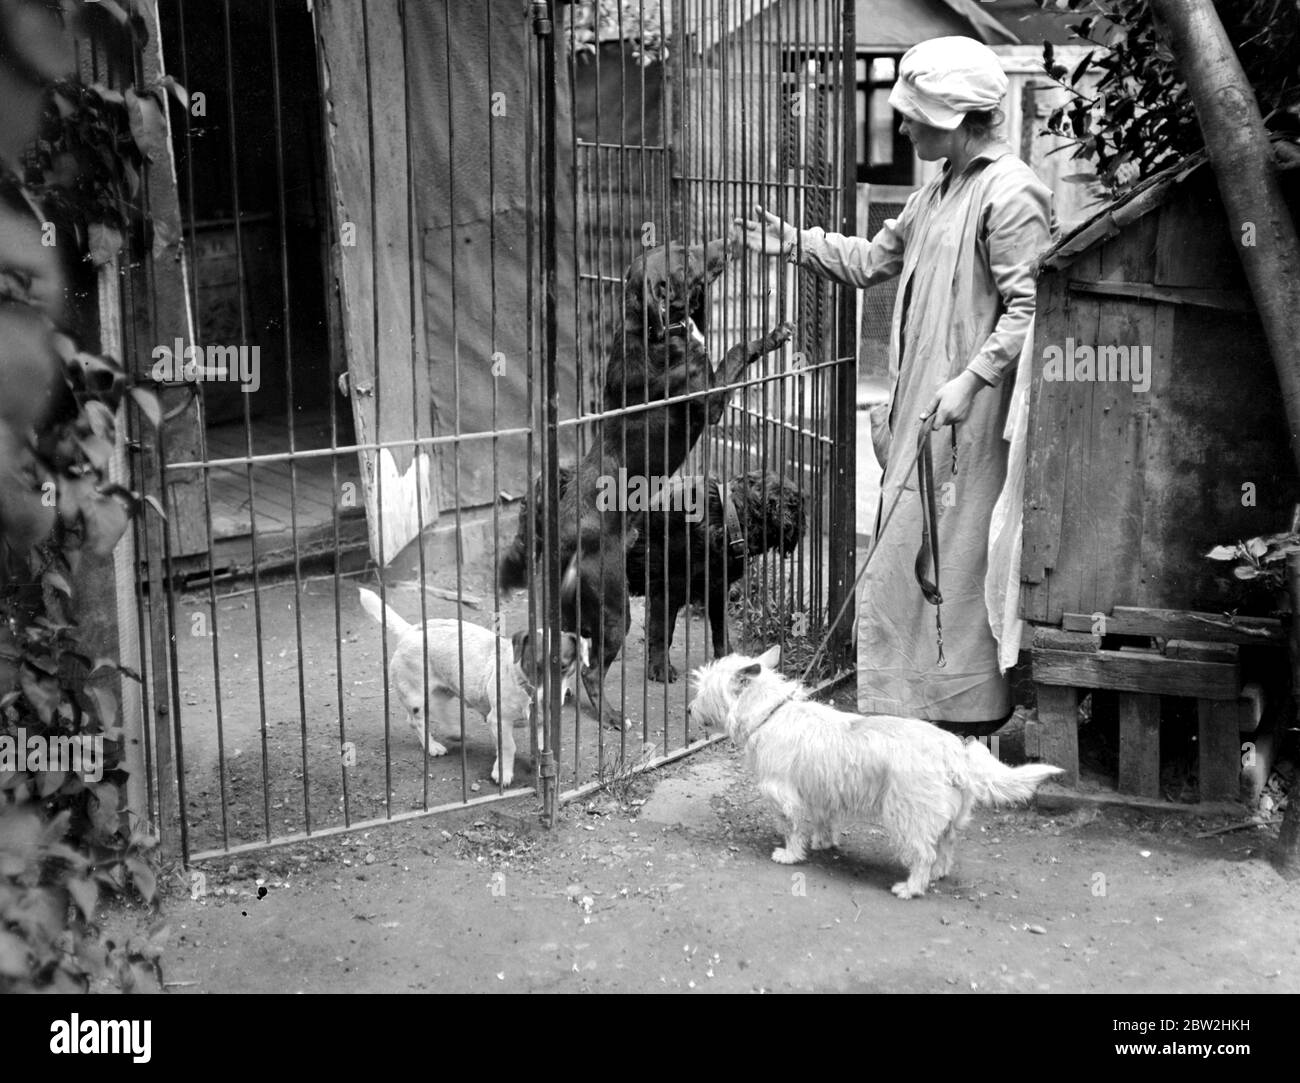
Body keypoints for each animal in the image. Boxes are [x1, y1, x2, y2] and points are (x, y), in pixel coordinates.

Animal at [356, 587, 590, 780]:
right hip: (416, 696)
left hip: (446, 687)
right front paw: (503, 773)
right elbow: (508, 746)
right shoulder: (499, 720)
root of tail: (410, 630)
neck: (523, 688)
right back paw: (433, 746)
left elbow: (541, 747)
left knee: (439, 707)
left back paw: (454, 731)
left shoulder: (542, 723)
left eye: (563, 667)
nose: (546, 702)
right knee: (416, 721)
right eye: (534, 666)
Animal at [496, 239, 790, 728]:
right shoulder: (709, 397)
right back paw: (613, 717)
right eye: (686, 255)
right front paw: (771, 335)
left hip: (571, 611)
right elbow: (735, 350)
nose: (728, 240)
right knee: (593, 670)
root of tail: (565, 538)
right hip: (616, 610)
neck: (651, 330)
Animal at [691, 647, 1066, 899]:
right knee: (944, 847)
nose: (690, 708)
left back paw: (911, 887)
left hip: (907, 815)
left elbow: (794, 828)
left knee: (924, 852)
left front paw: (791, 854)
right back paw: (936, 875)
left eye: (702, 688)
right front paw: (823, 843)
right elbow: (824, 822)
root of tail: (955, 754)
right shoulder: (822, 792)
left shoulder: (785, 796)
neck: (769, 712)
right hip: (944, 818)